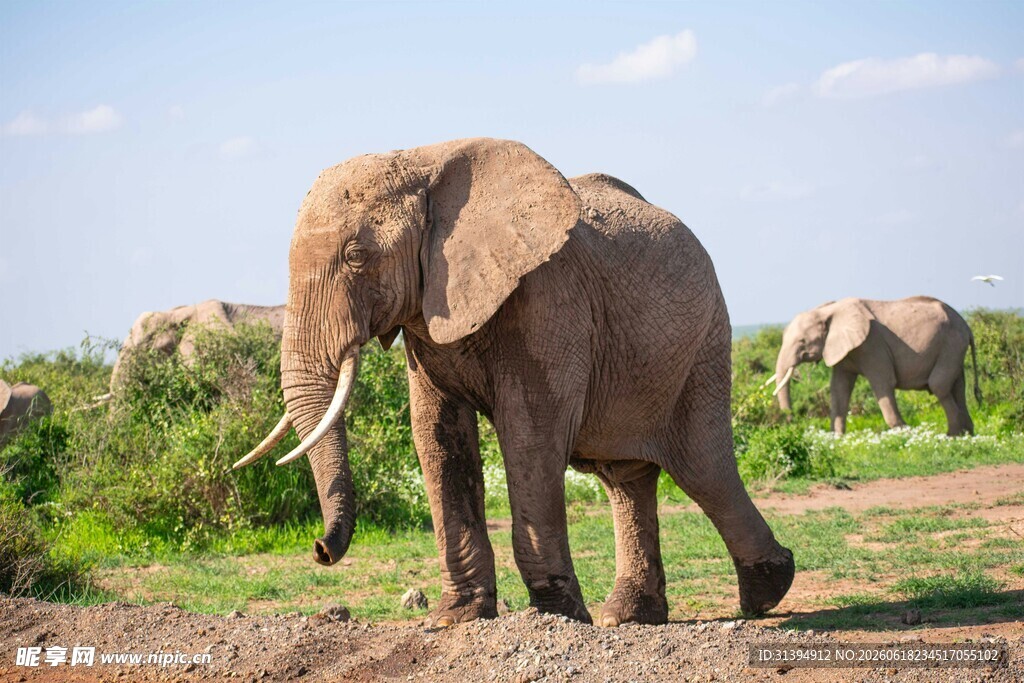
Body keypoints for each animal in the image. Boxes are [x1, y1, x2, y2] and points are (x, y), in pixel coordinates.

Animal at [234, 138, 794, 627]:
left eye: (356, 256)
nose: (320, 549)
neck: (423, 161)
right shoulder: (430, 311)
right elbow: (436, 437)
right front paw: (454, 619)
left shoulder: (547, 297)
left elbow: (530, 435)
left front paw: (554, 616)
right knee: (626, 477)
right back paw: (629, 616)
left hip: (703, 345)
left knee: (702, 467)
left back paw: (767, 592)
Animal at [767, 296, 981, 436]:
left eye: (802, 341)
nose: (791, 422)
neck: (829, 310)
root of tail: (967, 326)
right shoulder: (845, 351)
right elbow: (839, 389)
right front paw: (836, 439)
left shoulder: (872, 344)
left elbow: (883, 383)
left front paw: (905, 433)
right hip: (954, 347)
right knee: (958, 386)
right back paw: (967, 434)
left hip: (951, 344)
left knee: (939, 385)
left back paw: (952, 436)